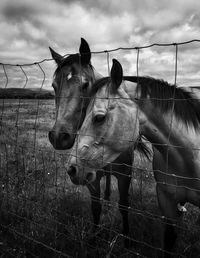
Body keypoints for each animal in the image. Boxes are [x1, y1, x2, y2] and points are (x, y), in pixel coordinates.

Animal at [48, 38, 150, 244]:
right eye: (54, 86)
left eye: (85, 85)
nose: (58, 137)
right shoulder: (90, 178)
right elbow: (96, 207)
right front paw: (94, 237)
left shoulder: (125, 175)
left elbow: (124, 205)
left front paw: (127, 239)